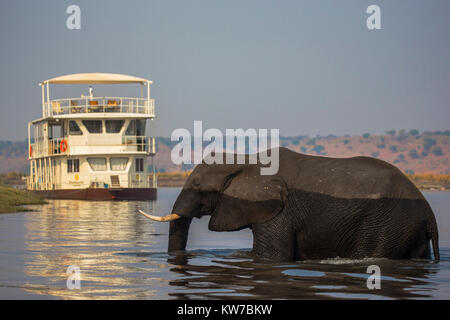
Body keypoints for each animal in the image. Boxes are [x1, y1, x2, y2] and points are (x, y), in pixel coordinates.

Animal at [140, 149, 440, 262]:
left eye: (199, 188)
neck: (246, 160)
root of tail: (430, 215)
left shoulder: (280, 213)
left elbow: (271, 256)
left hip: (388, 225)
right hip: (408, 230)